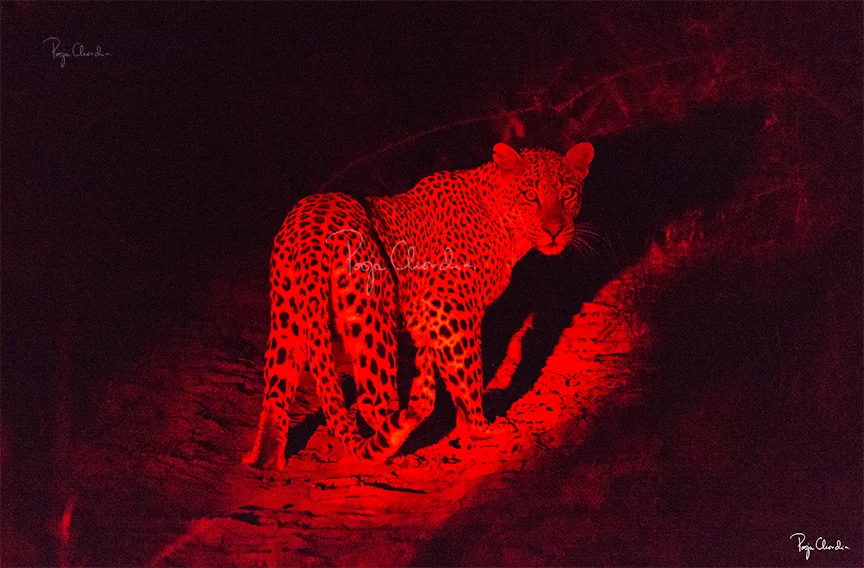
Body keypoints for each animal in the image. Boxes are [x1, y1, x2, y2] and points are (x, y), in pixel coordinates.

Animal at [243, 142, 594, 469]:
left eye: (567, 193)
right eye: (530, 195)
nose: (554, 230)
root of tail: (311, 226)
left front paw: (465, 428)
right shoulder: (451, 309)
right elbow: (469, 373)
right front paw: (482, 429)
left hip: (288, 314)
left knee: (276, 391)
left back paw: (265, 460)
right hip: (371, 316)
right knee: (373, 399)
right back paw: (397, 444)